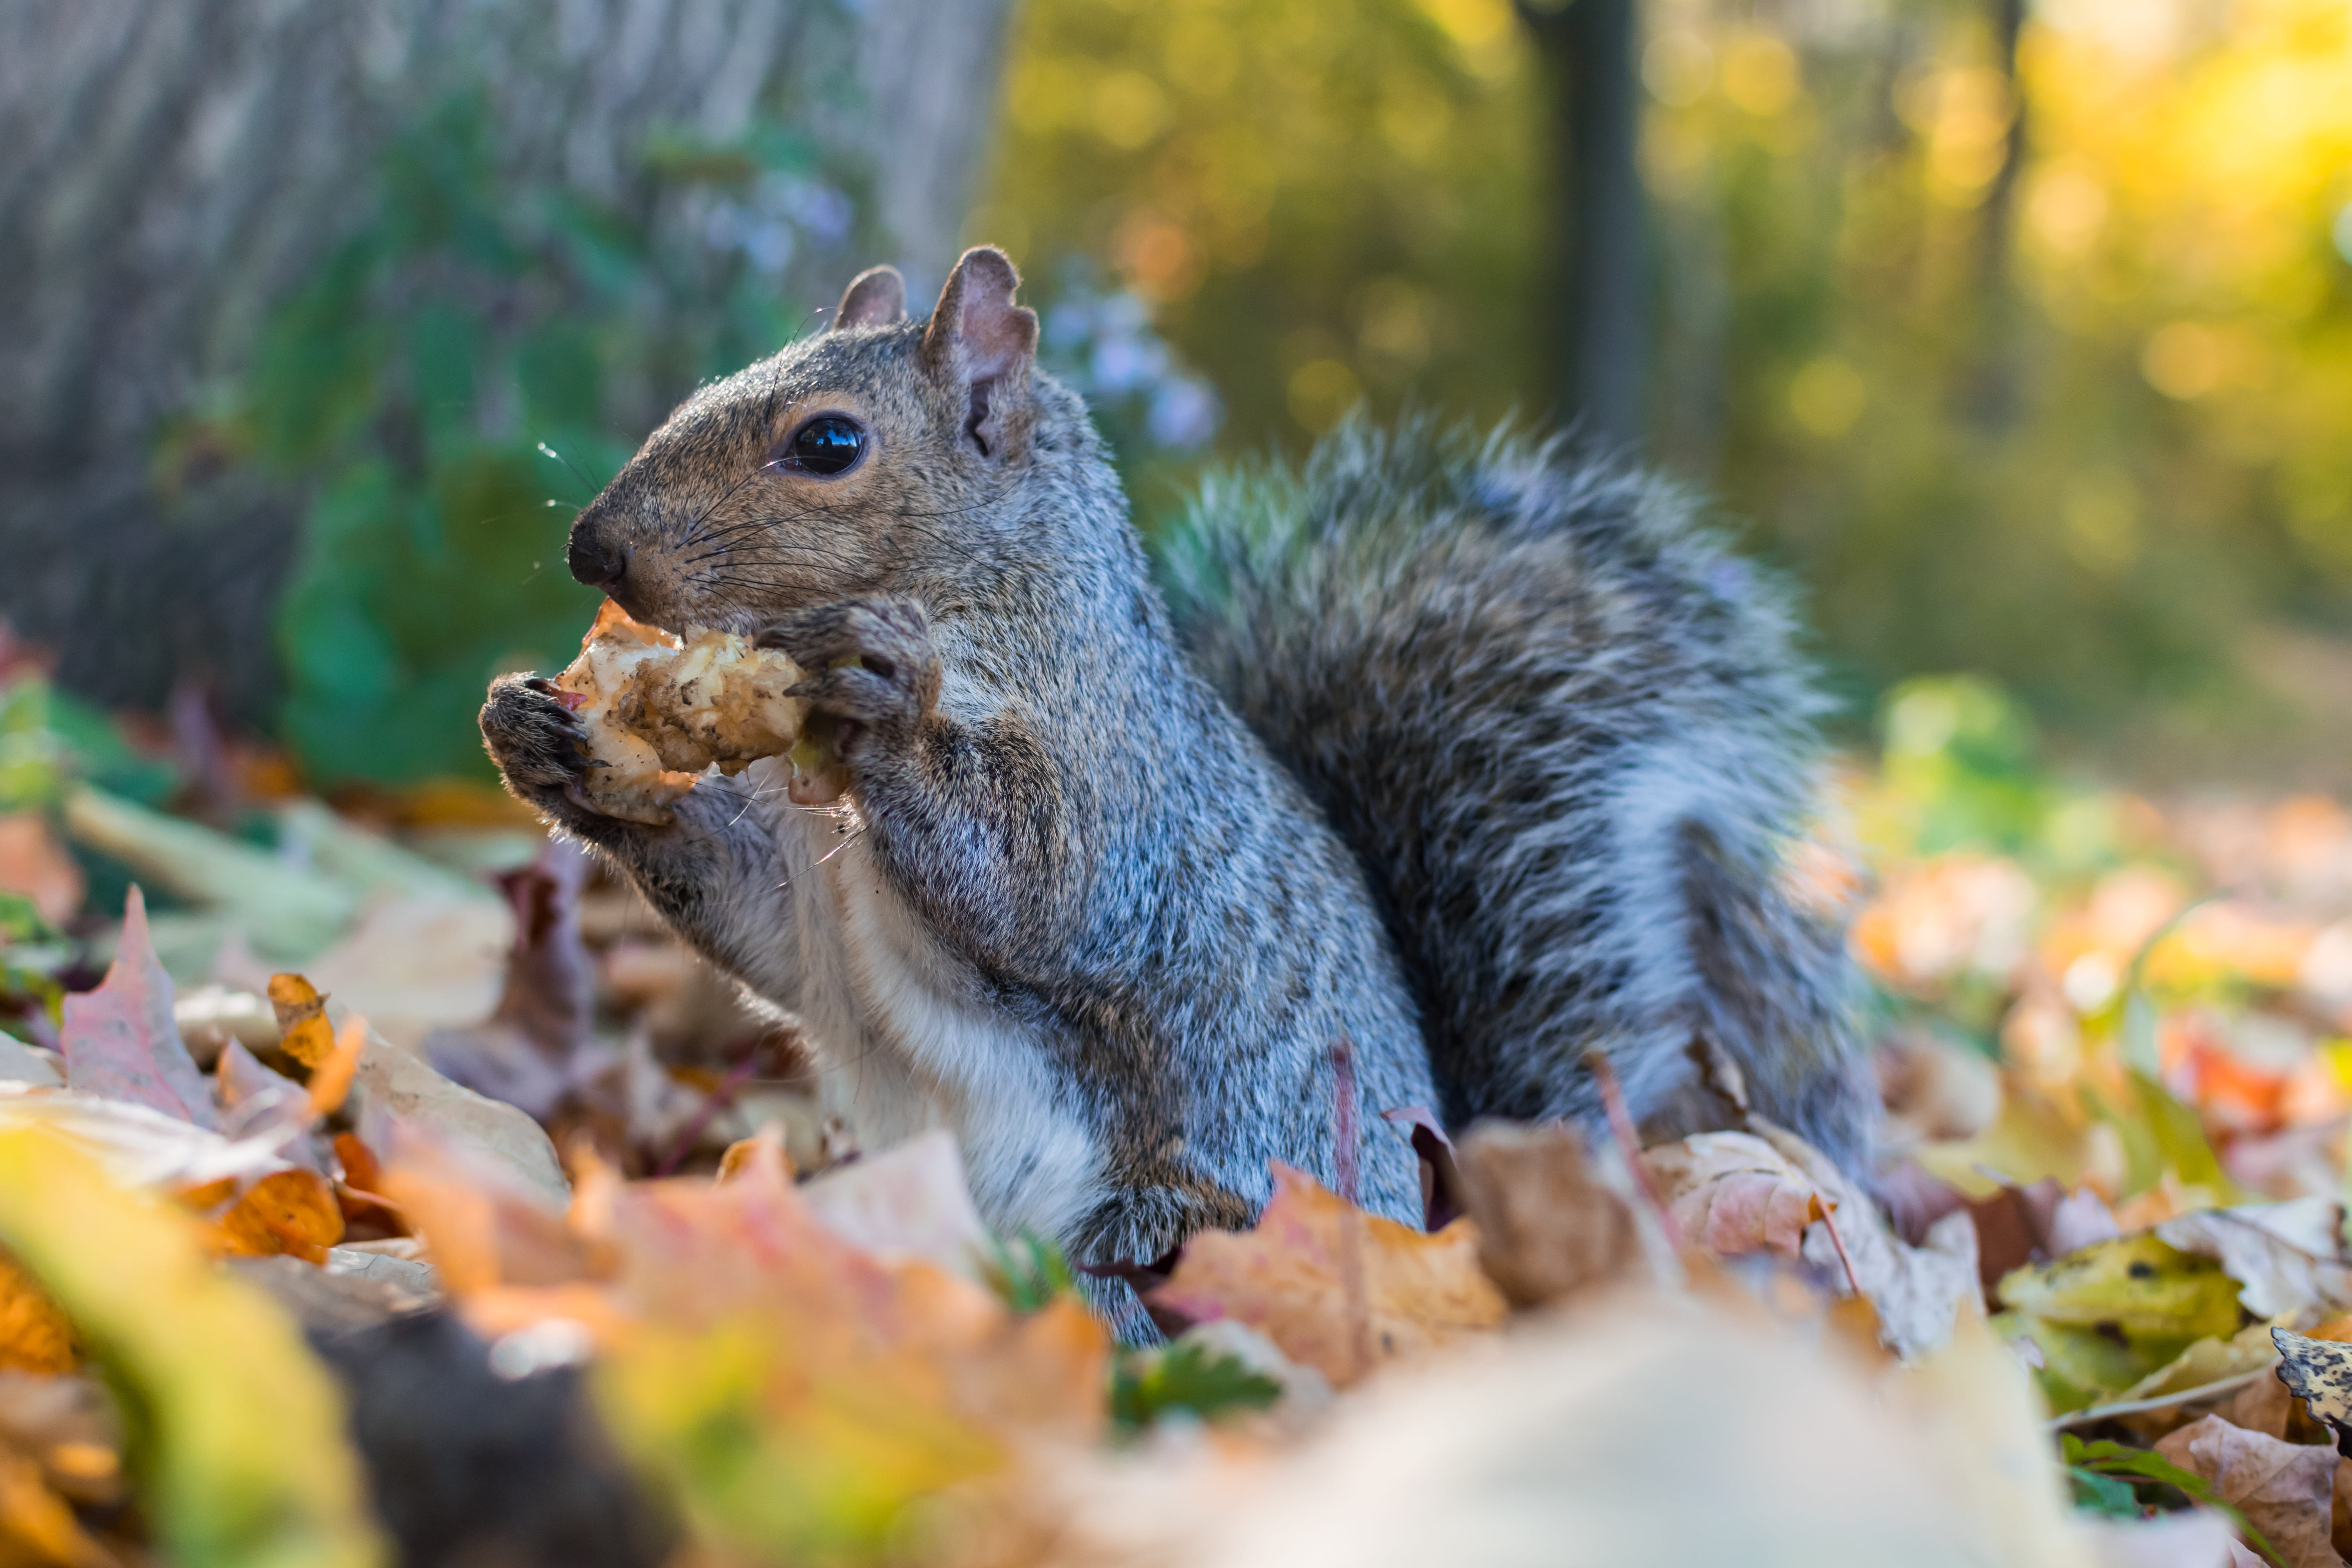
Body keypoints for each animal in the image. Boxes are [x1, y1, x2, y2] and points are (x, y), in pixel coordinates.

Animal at [479, 247, 1874, 1331]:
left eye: (828, 443)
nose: (590, 548)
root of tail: (1442, 1226)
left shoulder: (1123, 797)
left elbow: (1043, 887)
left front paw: (884, 696)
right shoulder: (793, 886)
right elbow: (753, 909)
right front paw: (546, 740)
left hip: (1186, 1231)